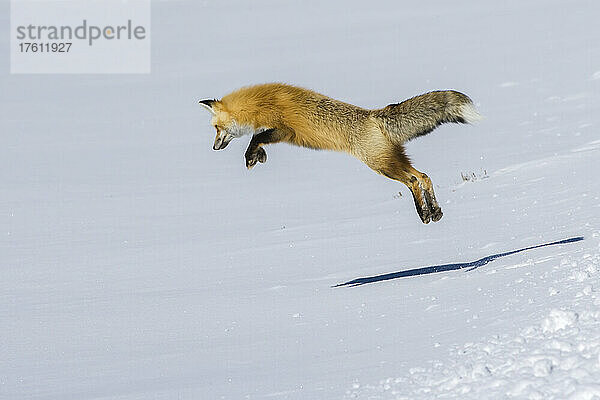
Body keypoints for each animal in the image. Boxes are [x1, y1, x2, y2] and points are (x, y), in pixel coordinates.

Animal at [199, 83, 480, 223]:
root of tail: (374, 115)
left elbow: (257, 137)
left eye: (216, 129)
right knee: (424, 177)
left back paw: (423, 214)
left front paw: (252, 156)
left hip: (382, 166)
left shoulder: (286, 130)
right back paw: (434, 212)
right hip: (392, 160)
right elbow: (258, 139)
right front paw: (258, 156)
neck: (259, 103)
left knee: (412, 180)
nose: (213, 147)